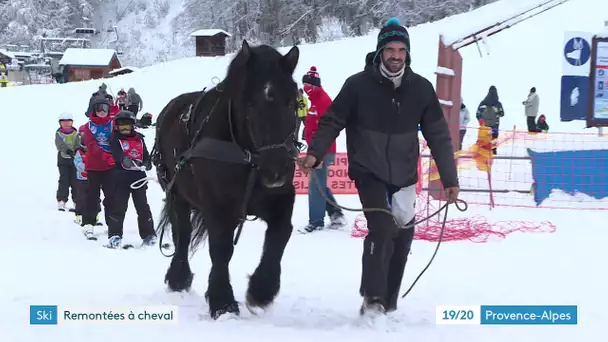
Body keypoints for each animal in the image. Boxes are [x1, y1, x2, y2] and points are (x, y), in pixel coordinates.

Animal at [152, 40, 302, 320]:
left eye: (291, 103)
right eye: (250, 104)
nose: (276, 171)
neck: (247, 158)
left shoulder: (280, 198)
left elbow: (279, 235)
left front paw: (261, 290)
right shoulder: (218, 207)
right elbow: (221, 249)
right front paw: (223, 302)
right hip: (177, 194)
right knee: (182, 234)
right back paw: (178, 277)